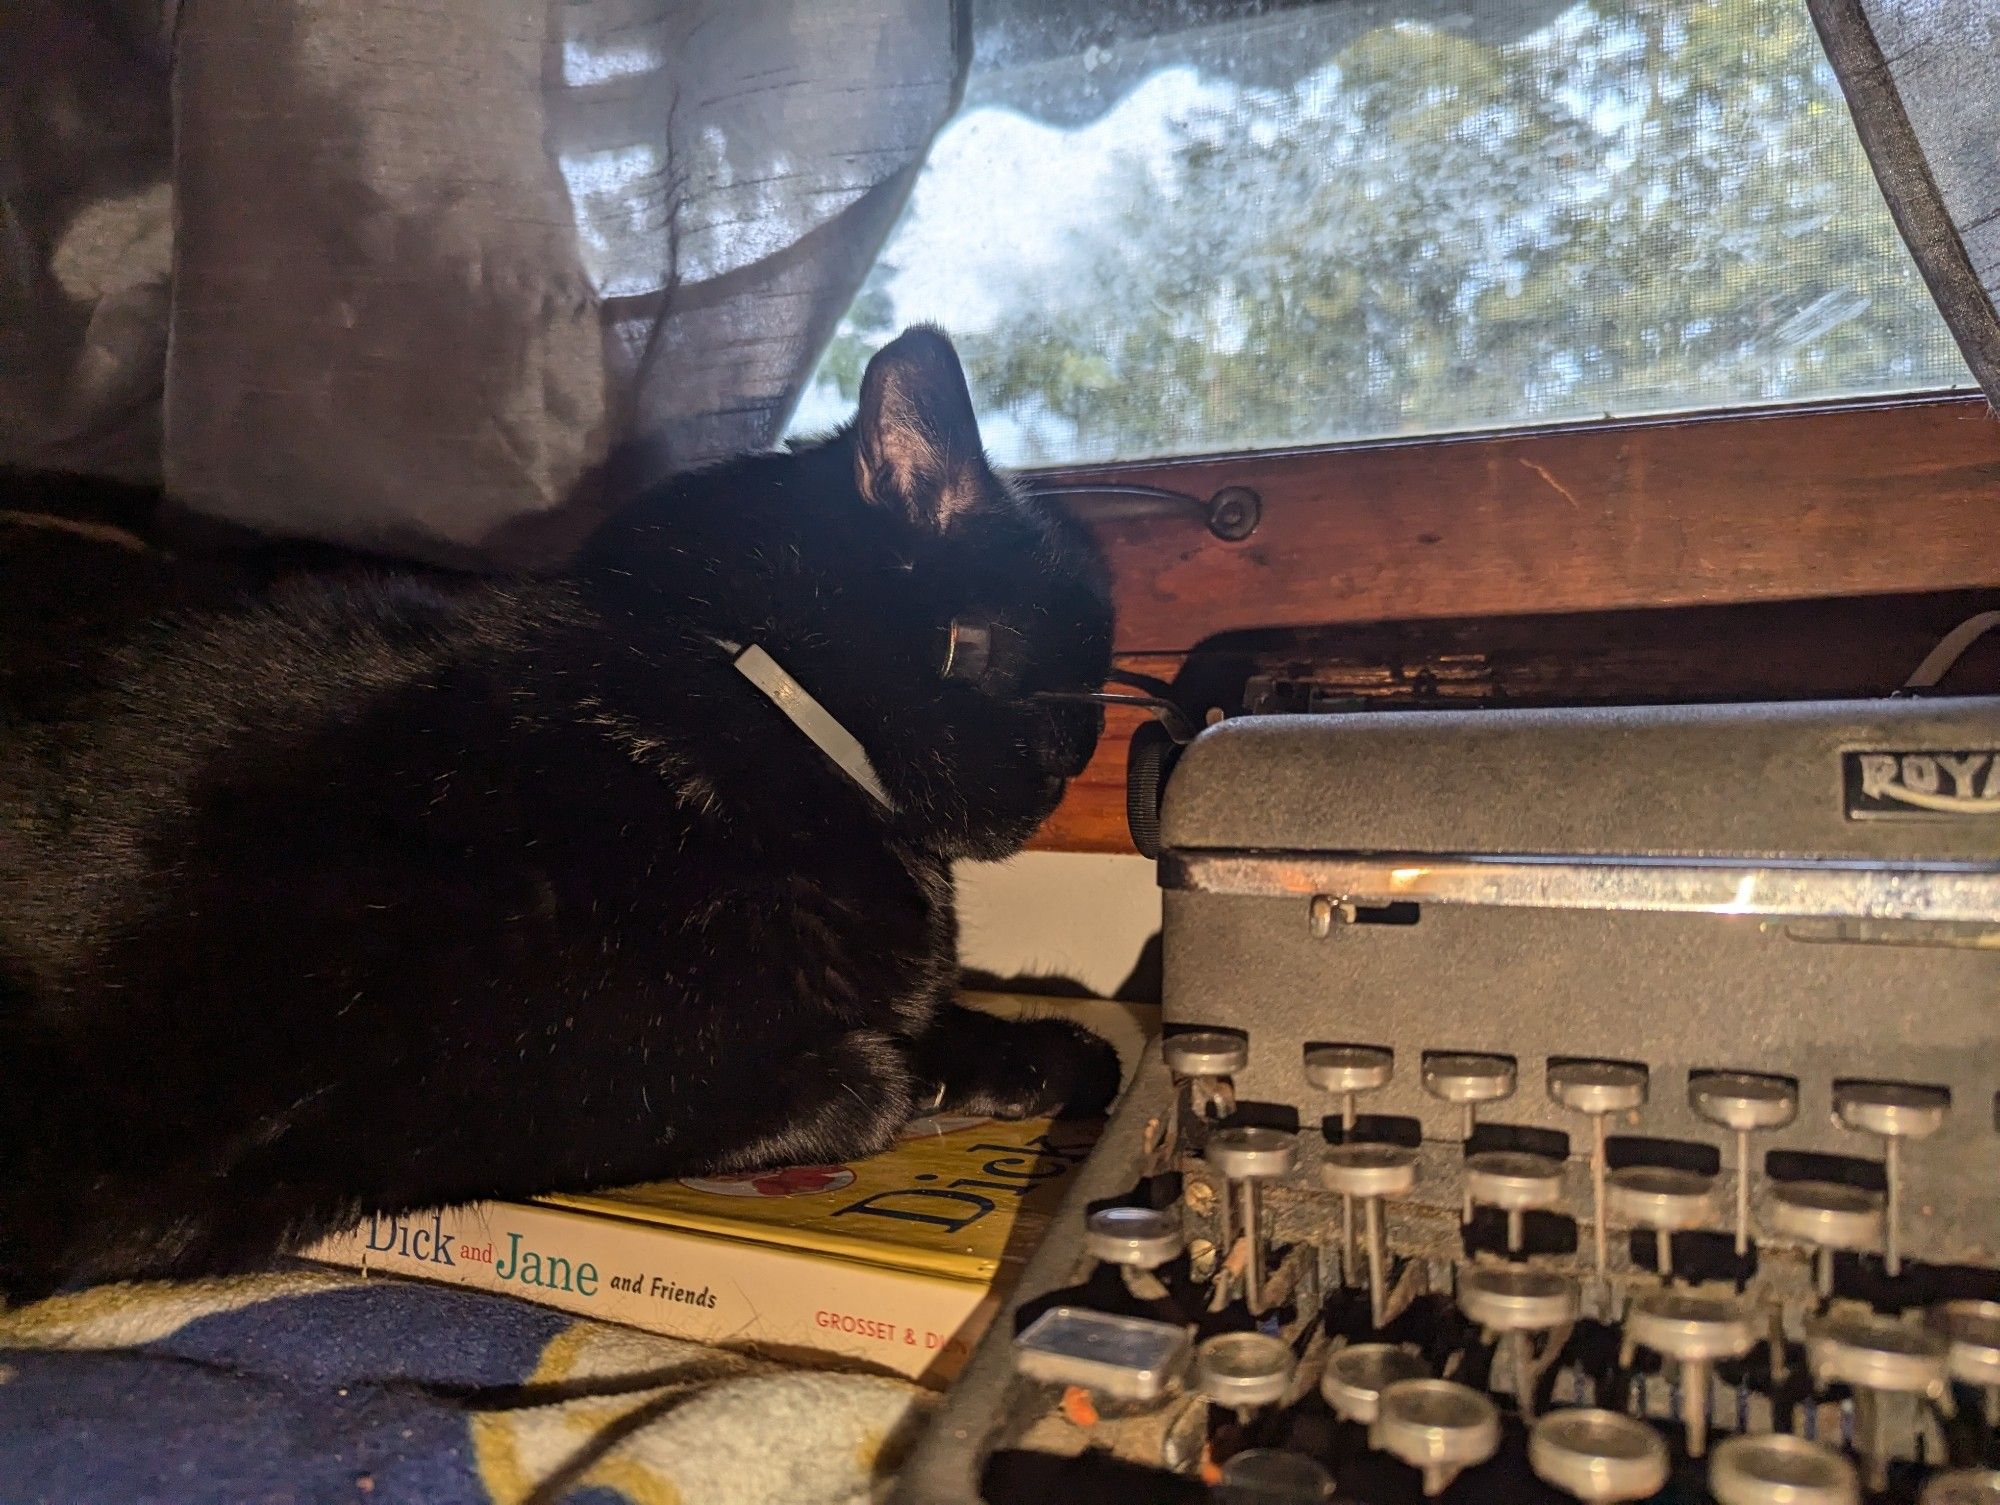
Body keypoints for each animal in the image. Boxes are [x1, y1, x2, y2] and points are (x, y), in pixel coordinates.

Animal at [0, 326, 1128, 1296]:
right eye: (1071, 672)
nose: (1083, 755)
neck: (754, 705)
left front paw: (1051, 1057)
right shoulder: (455, 1087)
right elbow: (857, 1087)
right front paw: (903, 1078)